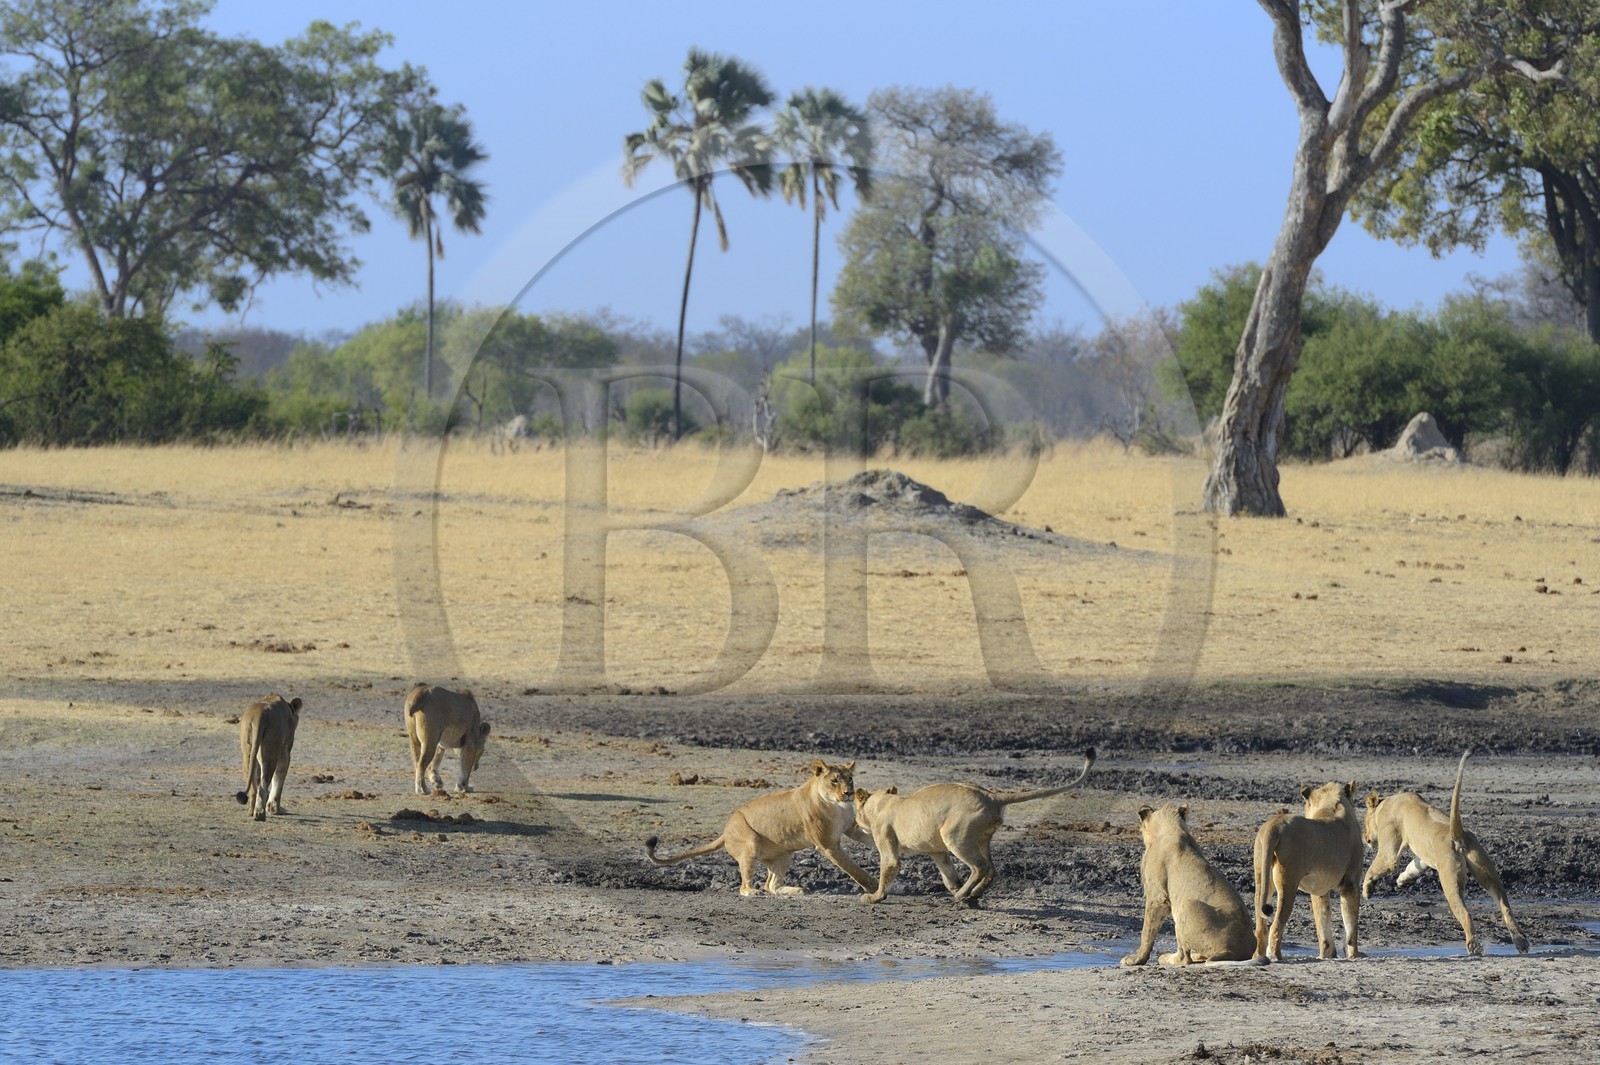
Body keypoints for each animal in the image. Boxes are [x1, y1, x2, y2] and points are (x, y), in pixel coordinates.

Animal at [645, 759, 875, 897]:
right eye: (834, 780)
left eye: (850, 779)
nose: (848, 793)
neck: (837, 806)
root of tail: (725, 831)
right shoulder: (827, 844)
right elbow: (852, 868)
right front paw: (872, 885)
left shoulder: (851, 827)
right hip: (750, 845)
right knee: (744, 887)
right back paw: (754, 892)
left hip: (784, 856)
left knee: (771, 885)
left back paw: (794, 889)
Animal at [851, 748, 1095, 906]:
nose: (854, 822)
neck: (882, 803)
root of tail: (991, 796)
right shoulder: (937, 850)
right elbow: (948, 874)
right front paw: (955, 886)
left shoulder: (888, 843)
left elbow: (887, 870)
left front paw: (874, 897)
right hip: (980, 839)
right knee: (992, 869)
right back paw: (972, 895)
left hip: (954, 836)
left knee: (981, 867)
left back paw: (962, 896)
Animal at [1122, 803, 1261, 966]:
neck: (1172, 827)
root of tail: (1234, 951)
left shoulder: (1157, 896)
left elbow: (1147, 931)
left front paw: (1136, 959)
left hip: (1186, 904)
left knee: (1184, 958)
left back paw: (1166, 958)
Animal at [1253, 780, 1366, 961]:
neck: (1330, 806)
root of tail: (1275, 824)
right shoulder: (1351, 883)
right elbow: (1351, 925)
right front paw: (1354, 954)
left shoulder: (1319, 889)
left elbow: (1323, 921)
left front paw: (1327, 954)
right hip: (1288, 882)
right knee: (1276, 925)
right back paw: (1276, 956)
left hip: (1262, 878)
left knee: (1260, 927)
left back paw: (1258, 955)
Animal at [1362, 748, 1530, 955]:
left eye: (1364, 822)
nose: (1364, 837)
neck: (1385, 804)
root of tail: (1458, 834)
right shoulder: (1425, 856)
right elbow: (1414, 865)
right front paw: (1403, 880)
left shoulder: (1390, 851)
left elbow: (1375, 868)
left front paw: (1367, 889)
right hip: (1487, 873)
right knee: (1505, 906)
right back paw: (1520, 941)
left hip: (1450, 881)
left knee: (1466, 914)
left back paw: (1474, 946)